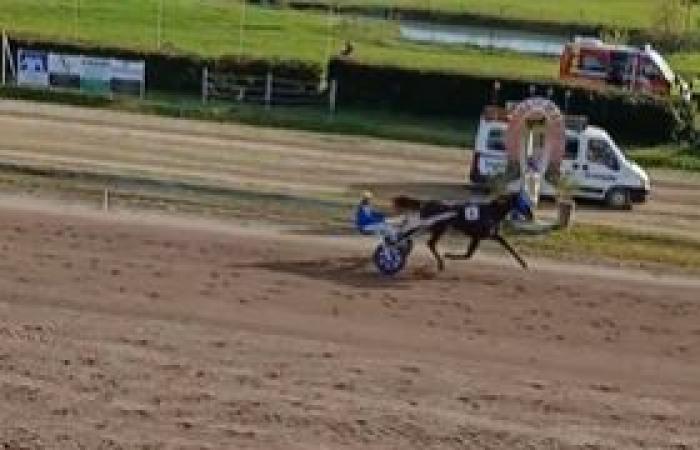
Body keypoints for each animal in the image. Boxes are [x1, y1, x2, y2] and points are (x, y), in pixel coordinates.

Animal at [392, 191, 532, 270]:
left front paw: (524, 264)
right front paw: (449, 255)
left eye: (527, 201)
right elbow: (468, 255)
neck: (492, 211)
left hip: (436, 228)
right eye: (524, 202)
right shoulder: (477, 236)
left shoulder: (492, 235)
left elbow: (509, 247)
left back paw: (440, 264)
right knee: (426, 241)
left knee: (429, 243)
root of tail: (426, 202)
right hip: (436, 227)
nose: (531, 215)